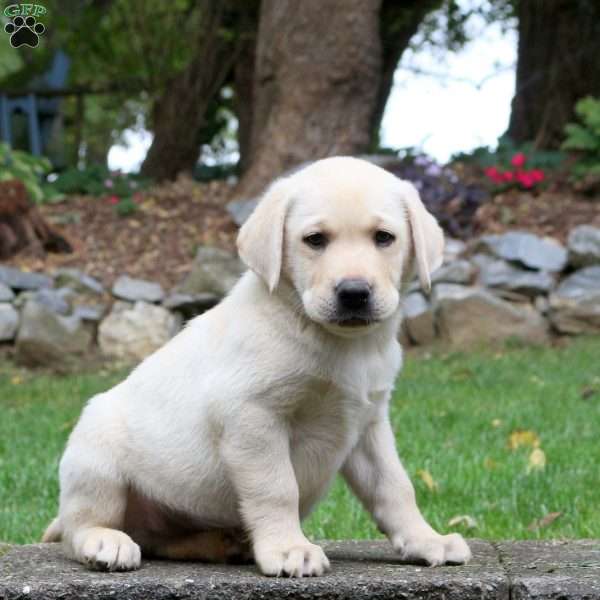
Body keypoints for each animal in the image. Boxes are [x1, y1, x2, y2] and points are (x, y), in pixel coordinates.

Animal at [44, 156, 472, 576]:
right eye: (315, 240)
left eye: (384, 237)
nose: (354, 293)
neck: (342, 344)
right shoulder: (252, 416)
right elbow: (277, 488)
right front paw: (288, 549)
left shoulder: (369, 424)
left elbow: (395, 486)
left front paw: (425, 539)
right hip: (96, 457)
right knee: (80, 527)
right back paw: (106, 542)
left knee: (159, 539)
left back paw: (221, 543)